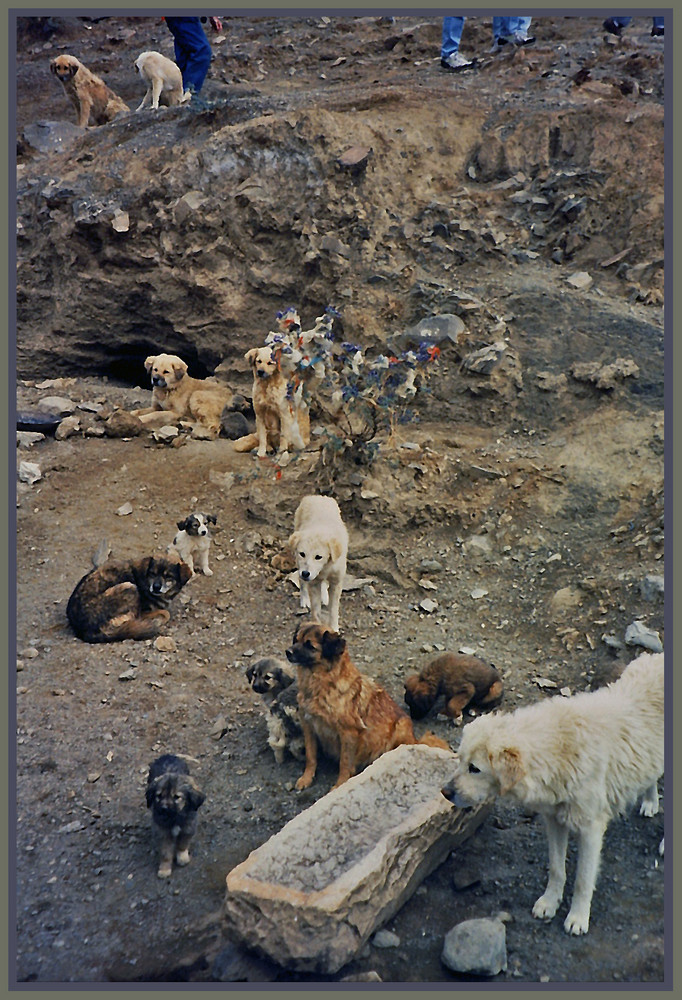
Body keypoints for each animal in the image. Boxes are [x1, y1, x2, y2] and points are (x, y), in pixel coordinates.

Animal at [145, 752, 205, 880]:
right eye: (159, 796)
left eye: (177, 797)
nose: (163, 808)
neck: (174, 818)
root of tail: (168, 755)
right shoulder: (163, 833)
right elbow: (166, 853)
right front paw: (164, 869)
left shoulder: (188, 828)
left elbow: (183, 844)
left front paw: (182, 857)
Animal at [284, 616, 448, 788]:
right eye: (296, 640)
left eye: (310, 645)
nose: (287, 652)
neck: (319, 685)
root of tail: (416, 740)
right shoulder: (308, 725)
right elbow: (310, 755)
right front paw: (306, 778)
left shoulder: (348, 732)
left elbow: (345, 763)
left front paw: (340, 785)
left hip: (401, 726)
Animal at [288, 494, 348, 628]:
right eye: (302, 554)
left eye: (318, 557)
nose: (306, 573)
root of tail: (316, 496)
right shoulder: (313, 583)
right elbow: (316, 611)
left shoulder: (336, 582)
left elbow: (333, 610)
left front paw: (334, 628)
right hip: (298, 563)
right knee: (302, 582)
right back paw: (304, 599)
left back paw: (324, 596)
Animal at [440, 652, 660, 932]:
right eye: (459, 760)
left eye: (474, 768)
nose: (445, 792)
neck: (559, 749)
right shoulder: (554, 820)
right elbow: (556, 868)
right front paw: (549, 902)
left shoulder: (591, 829)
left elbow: (583, 879)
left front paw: (577, 917)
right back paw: (650, 801)